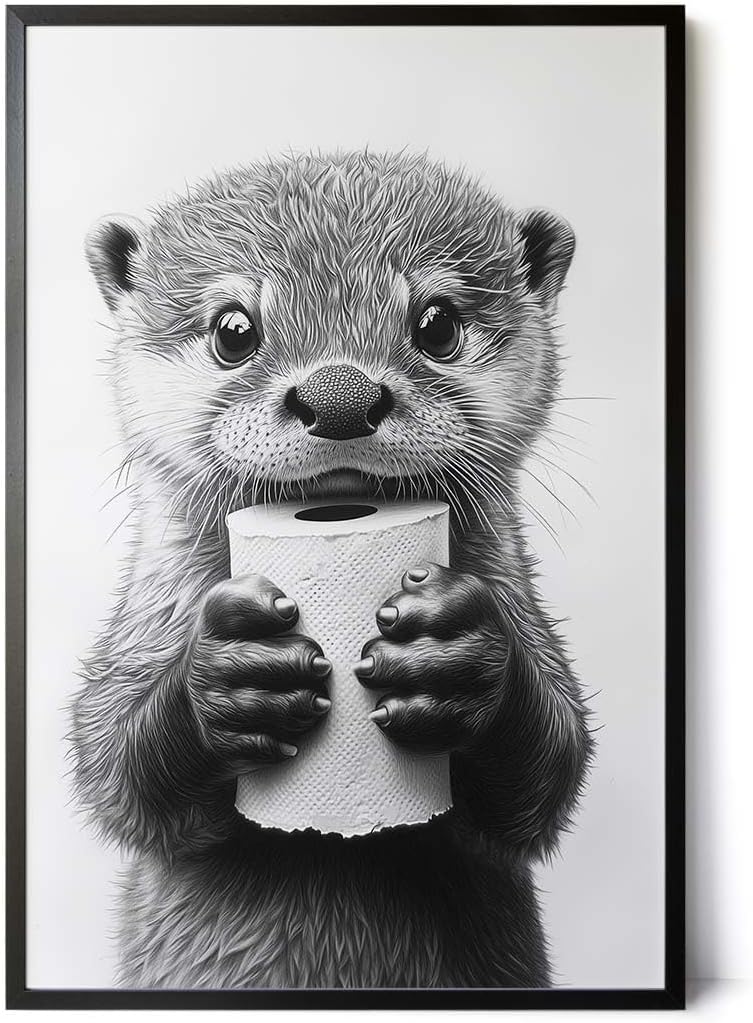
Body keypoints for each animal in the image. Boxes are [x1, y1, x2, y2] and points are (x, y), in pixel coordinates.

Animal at [71, 151, 593, 989]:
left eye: (437, 324)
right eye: (234, 330)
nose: (339, 394)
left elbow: (549, 773)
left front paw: (457, 658)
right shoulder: (139, 636)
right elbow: (112, 766)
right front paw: (229, 678)